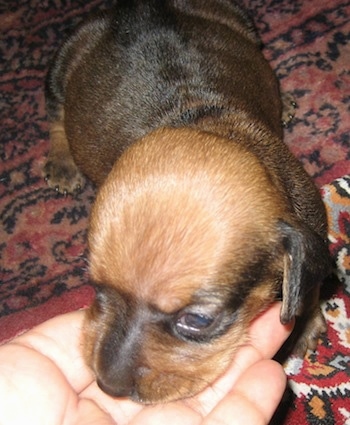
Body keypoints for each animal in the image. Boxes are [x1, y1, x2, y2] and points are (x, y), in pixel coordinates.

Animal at [43, 0, 330, 404]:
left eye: (197, 321)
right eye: (96, 289)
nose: (109, 387)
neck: (209, 126)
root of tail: (138, 6)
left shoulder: (313, 228)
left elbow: (309, 287)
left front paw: (303, 326)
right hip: (61, 62)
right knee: (56, 113)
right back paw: (61, 160)